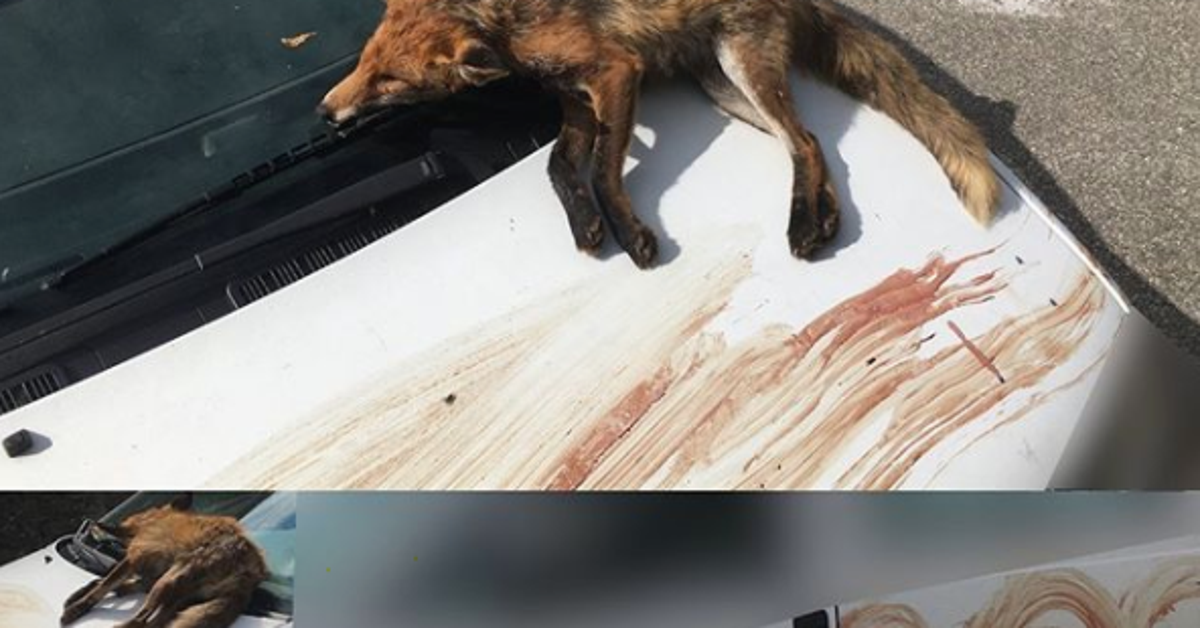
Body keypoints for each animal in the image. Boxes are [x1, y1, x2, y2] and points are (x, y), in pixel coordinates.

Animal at [60, 495, 268, 628]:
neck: (151, 522)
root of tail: (251, 573)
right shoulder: (148, 573)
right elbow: (103, 582)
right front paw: (76, 596)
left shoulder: (134, 560)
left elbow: (103, 586)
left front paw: (75, 609)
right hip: (180, 595)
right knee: (156, 622)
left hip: (166, 583)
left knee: (140, 622)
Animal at [320, 0, 1001, 269]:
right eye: (364, 60)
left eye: (389, 79)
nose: (326, 111)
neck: (505, 21)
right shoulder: (575, 96)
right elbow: (559, 168)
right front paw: (586, 225)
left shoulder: (615, 72)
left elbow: (602, 171)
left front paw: (630, 234)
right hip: (723, 89)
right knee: (809, 141)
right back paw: (822, 217)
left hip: (741, 67)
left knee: (804, 141)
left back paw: (803, 223)